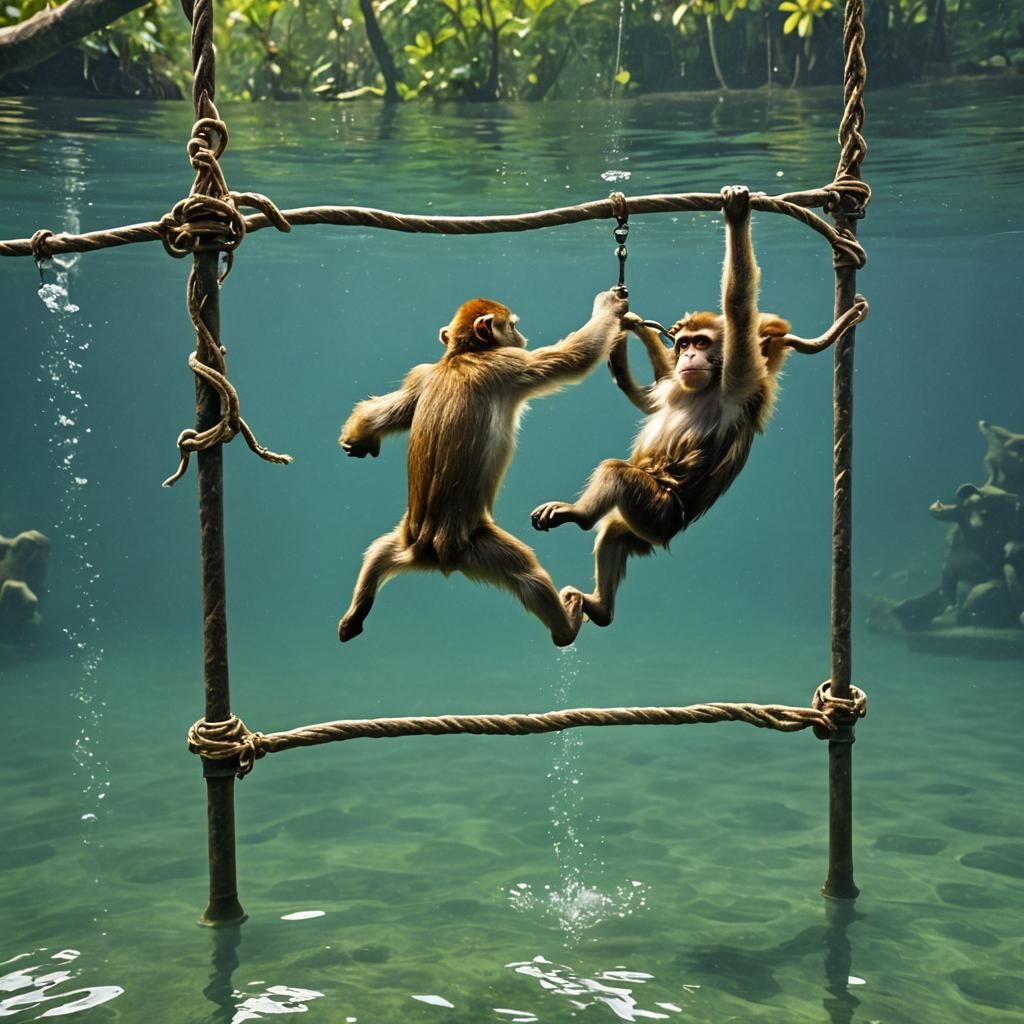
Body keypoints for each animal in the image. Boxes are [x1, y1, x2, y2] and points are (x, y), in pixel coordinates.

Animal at [338, 288, 630, 646]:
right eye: (513, 326)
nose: (522, 337)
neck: (460, 356)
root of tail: (430, 550)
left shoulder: (422, 374)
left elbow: (387, 411)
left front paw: (358, 437)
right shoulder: (508, 364)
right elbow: (576, 356)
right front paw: (611, 306)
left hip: (407, 539)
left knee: (379, 551)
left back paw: (354, 615)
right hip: (480, 546)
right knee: (528, 575)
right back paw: (566, 628)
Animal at [531, 185, 869, 627]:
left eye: (703, 342)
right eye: (685, 342)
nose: (688, 354)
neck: (704, 387)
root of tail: (667, 532)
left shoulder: (742, 375)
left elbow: (738, 305)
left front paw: (737, 215)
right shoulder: (676, 385)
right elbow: (647, 399)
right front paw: (626, 331)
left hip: (655, 512)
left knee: (616, 478)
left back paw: (579, 516)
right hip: (643, 525)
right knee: (615, 534)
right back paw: (600, 608)